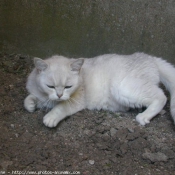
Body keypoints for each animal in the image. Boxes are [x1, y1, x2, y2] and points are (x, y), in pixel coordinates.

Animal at [23, 52, 175, 128]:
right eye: (50, 86)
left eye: (68, 87)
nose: (59, 95)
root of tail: (150, 58)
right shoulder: (41, 95)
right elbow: (30, 98)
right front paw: (30, 104)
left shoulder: (76, 100)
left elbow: (60, 107)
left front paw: (51, 117)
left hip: (123, 88)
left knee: (161, 96)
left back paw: (144, 116)